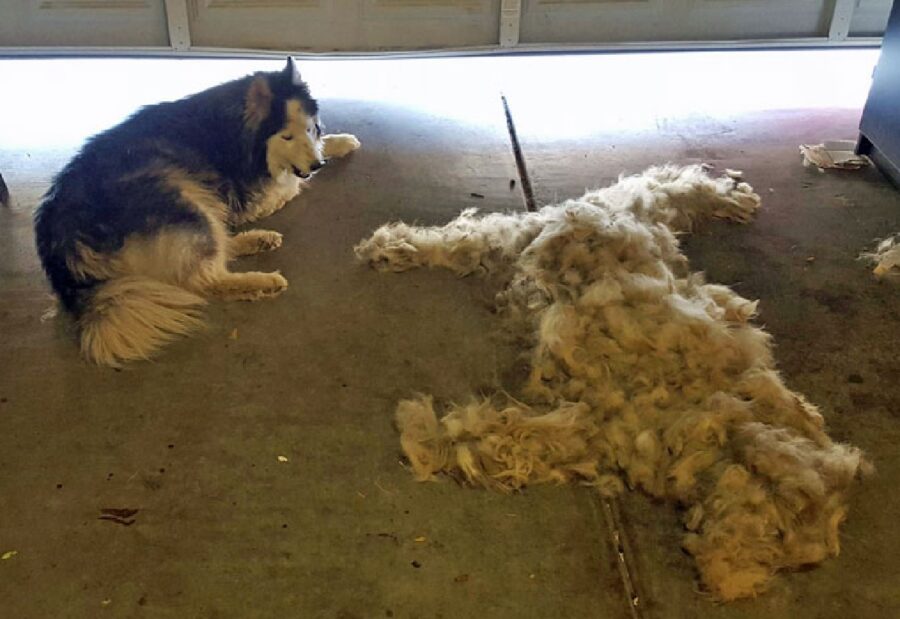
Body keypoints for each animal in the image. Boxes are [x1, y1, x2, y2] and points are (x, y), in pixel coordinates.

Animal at [36, 57, 358, 368]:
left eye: (309, 128)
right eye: (287, 137)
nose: (316, 165)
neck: (235, 126)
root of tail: (62, 252)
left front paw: (340, 142)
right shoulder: (251, 195)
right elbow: (290, 185)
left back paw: (257, 240)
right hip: (180, 193)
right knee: (207, 278)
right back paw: (263, 280)